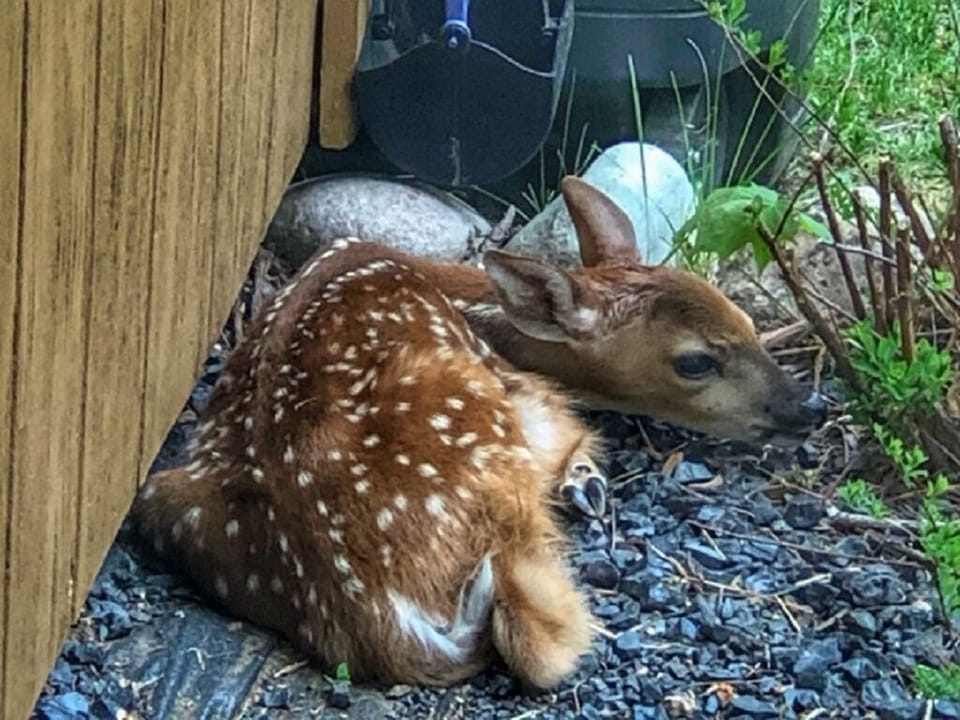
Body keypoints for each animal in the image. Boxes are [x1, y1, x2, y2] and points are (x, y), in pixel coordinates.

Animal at [130, 176, 826, 690]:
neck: (471, 300)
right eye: (695, 362)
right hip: (480, 421)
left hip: (166, 494)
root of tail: (373, 613)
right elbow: (573, 433)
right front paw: (585, 480)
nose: (809, 407)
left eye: (747, 321)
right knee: (541, 642)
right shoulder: (523, 391)